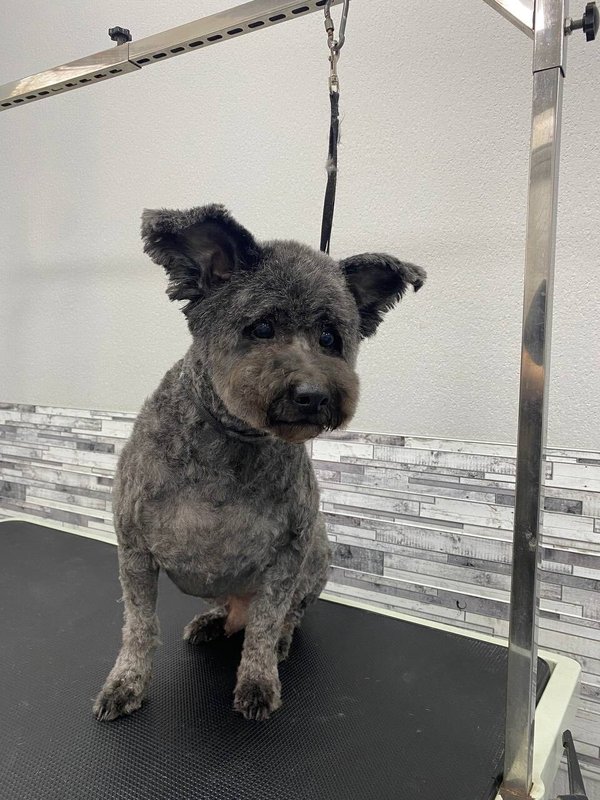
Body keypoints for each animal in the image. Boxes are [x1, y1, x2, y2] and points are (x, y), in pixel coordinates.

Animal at [93, 204, 425, 722]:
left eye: (330, 338)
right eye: (262, 328)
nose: (313, 395)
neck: (231, 439)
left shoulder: (288, 554)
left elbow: (265, 627)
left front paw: (257, 681)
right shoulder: (134, 551)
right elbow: (140, 626)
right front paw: (125, 683)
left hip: (318, 554)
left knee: (283, 616)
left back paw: (279, 638)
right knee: (231, 615)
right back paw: (214, 620)